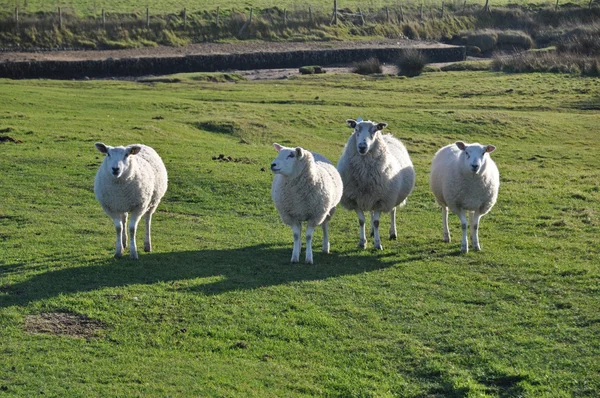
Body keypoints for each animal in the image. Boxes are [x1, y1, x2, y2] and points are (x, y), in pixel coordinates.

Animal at [338, 117, 418, 249]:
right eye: (356, 129)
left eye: (374, 130)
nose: (362, 146)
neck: (364, 175)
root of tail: (388, 135)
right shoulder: (355, 199)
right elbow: (361, 221)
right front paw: (362, 242)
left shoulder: (381, 200)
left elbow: (376, 222)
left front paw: (377, 244)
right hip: (371, 195)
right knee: (370, 212)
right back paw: (371, 232)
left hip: (392, 196)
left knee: (392, 211)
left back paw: (393, 233)